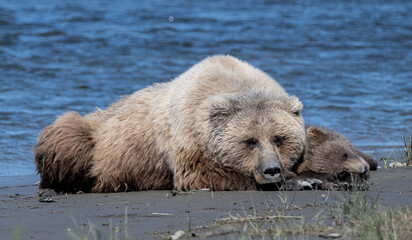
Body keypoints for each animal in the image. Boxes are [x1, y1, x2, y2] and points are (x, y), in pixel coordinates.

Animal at [34, 54, 306, 193]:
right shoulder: (184, 136)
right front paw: (294, 181)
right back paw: (56, 187)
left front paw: (305, 176)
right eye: (250, 141)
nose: (272, 170)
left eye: (279, 138)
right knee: (67, 136)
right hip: (96, 138)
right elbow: (201, 174)